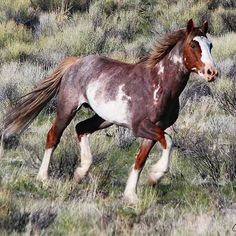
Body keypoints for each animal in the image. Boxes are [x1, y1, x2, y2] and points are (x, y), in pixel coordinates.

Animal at [2, 19, 218, 203]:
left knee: (81, 128)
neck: (159, 84)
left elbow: (141, 159)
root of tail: (76, 62)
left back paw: (80, 172)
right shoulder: (140, 127)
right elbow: (169, 141)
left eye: (210, 45)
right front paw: (154, 176)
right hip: (67, 108)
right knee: (53, 136)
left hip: (103, 118)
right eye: (193, 45)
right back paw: (43, 178)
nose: (212, 73)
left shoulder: (155, 130)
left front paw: (132, 194)